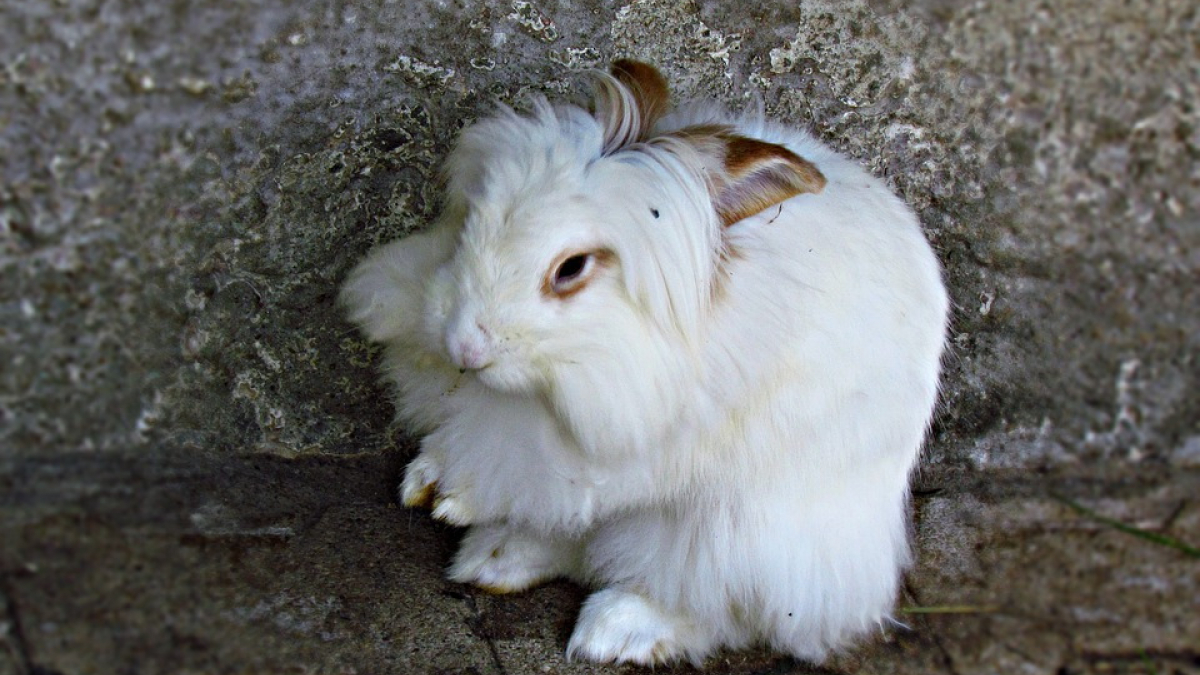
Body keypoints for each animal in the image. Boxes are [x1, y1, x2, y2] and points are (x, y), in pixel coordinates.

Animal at [340, 59, 945, 662]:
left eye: (571, 268)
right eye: (470, 225)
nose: (464, 345)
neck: (548, 383)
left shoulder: (626, 445)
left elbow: (524, 467)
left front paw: (453, 495)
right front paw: (426, 480)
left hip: (745, 536)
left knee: (720, 604)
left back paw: (615, 629)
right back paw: (495, 559)